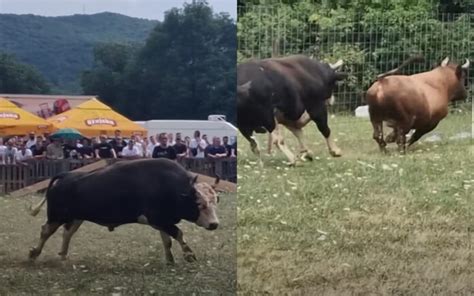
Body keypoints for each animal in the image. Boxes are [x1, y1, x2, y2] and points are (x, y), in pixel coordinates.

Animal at [28, 158, 221, 264]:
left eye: (214, 202)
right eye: (200, 204)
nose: (214, 224)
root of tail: (66, 175)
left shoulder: (163, 222)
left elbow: (167, 241)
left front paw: (170, 260)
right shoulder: (160, 220)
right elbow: (179, 235)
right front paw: (189, 255)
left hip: (76, 218)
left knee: (67, 233)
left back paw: (63, 256)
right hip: (56, 216)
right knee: (45, 231)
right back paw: (34, 254)